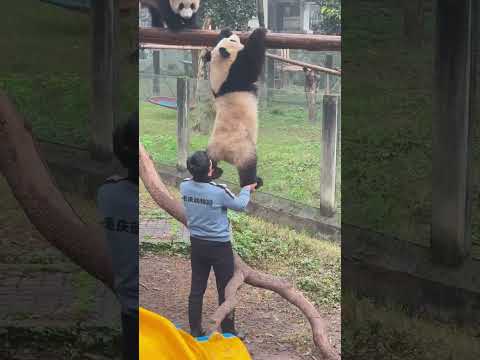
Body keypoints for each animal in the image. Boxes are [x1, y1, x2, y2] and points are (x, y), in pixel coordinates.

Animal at [203, 27, 268, 190]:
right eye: (233, 40)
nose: (233, 35)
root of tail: (224, 153)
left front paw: (223, 31)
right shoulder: (235, 74)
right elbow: (253, 66)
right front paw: (259, 32)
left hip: (212, 148)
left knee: (208, 160)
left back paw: (215, 172)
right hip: (242, 147)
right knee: (248, 167)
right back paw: (254, 183)